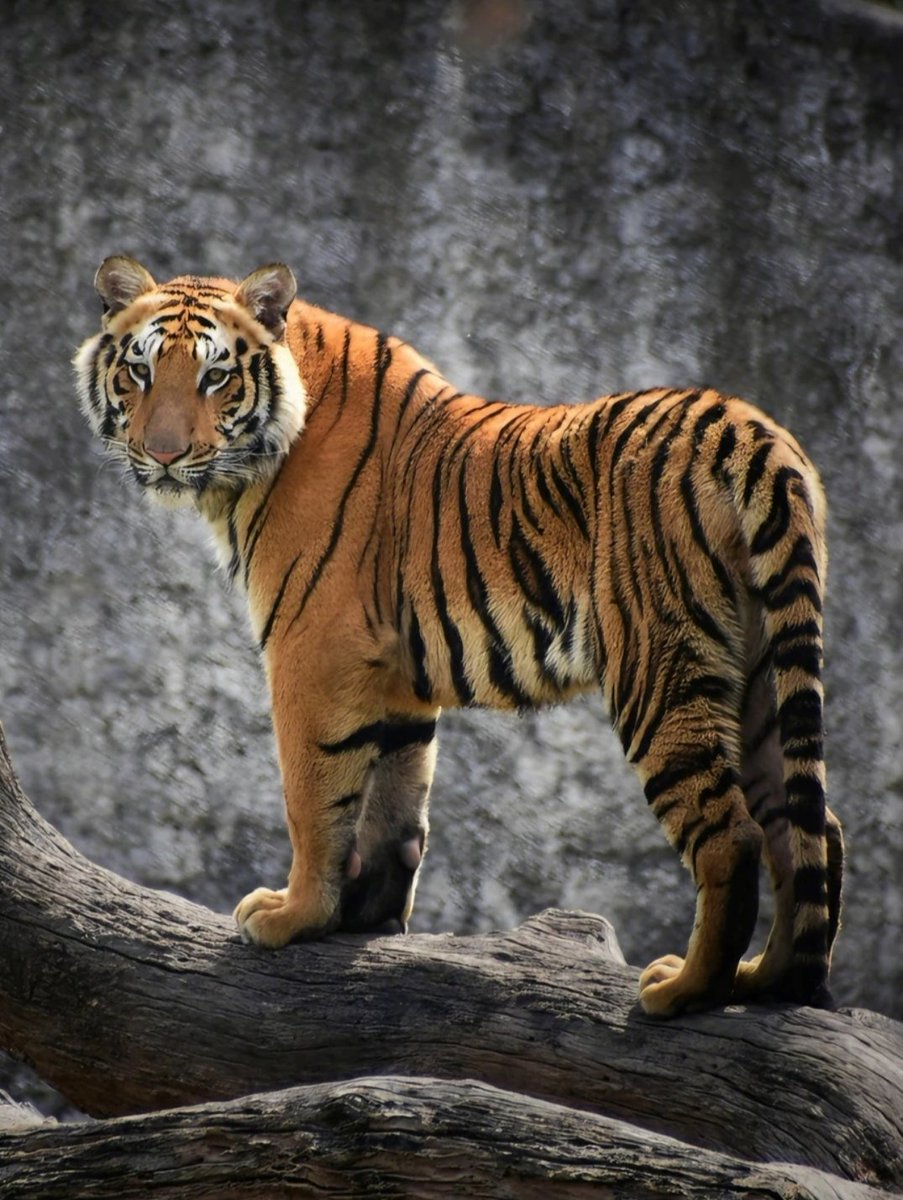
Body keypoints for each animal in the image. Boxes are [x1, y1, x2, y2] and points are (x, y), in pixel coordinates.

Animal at [74, 255, 844, 1017]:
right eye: (140, 371)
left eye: (215, 377)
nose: (164, 454)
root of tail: (751, 430)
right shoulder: (393, 674)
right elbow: (394, 800)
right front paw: (364, 918)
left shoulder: (311, 649)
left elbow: (314, 795)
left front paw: (293, 916)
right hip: (762, 673)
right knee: (809, 830)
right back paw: (766, 980)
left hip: (659, 667)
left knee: (733, 835)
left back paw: (682, 991)